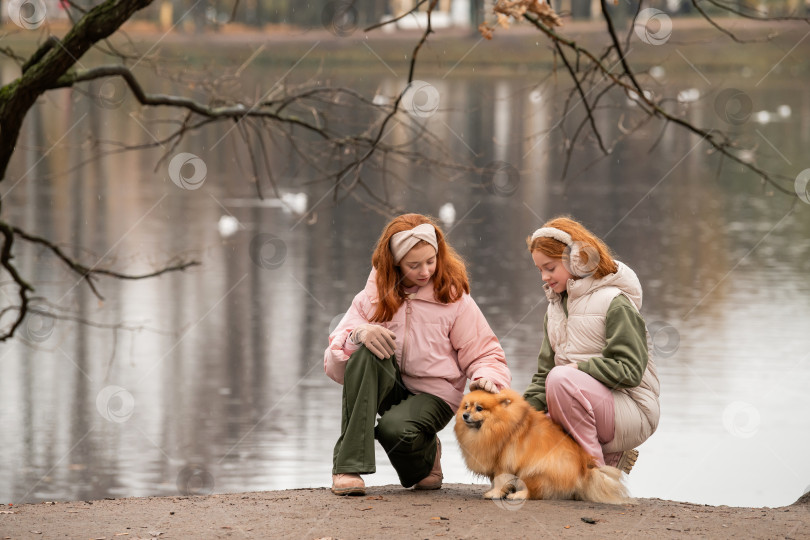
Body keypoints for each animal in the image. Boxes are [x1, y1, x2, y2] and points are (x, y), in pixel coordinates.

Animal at [452, 390, 628, 504]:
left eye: (479, 408)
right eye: (466, 406)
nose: (465, 415)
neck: (497, 423)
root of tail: (583, 471)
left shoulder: (503, 462)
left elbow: (500, 480)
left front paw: (495, 493)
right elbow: (496, 480)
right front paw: (500, 491)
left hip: (534, 471)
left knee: (534, 492)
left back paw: (518, 495)